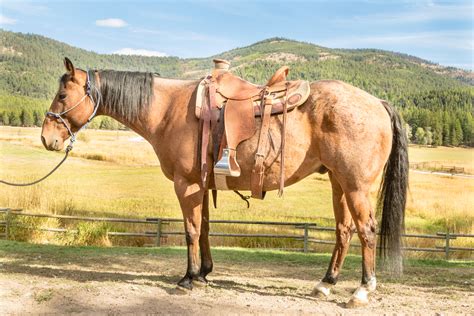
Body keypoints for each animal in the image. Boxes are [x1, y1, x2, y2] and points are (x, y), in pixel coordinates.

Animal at [41, 58, 408, 308]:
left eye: (62, 95)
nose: (47, 138)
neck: (168, 110)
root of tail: (377, 102)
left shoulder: (186, 184)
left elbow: (190, 230)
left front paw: (188, 278)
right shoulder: (201, 186)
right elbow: (203, 228)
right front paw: (204, 273)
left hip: (357, 186)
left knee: (366, 230)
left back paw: (362, 290)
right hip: (338, 182)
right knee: (344, 231)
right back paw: (325, 283)